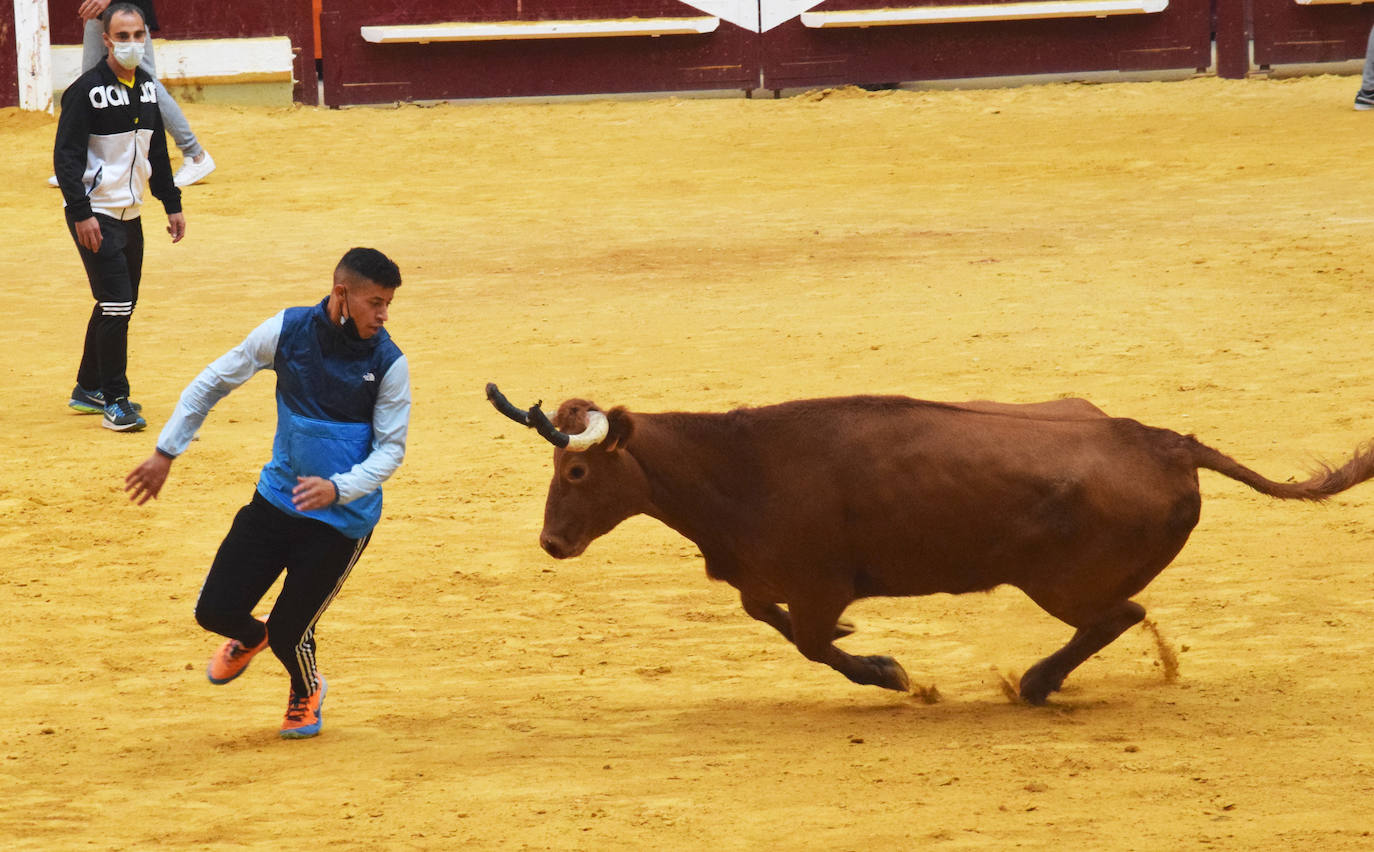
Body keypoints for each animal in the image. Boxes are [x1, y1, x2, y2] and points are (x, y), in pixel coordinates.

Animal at [486, 384, 1374, 703]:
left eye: (576, 471)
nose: (552, 543)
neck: (738, 465)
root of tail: (1167, 443)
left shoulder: (816, 583)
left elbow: (811, 640)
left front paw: (894, 674)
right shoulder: (767, 578)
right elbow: (767, 616)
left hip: (1061, 585)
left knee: (1117, 615)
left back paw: (1034, 685)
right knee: (1121, 616)